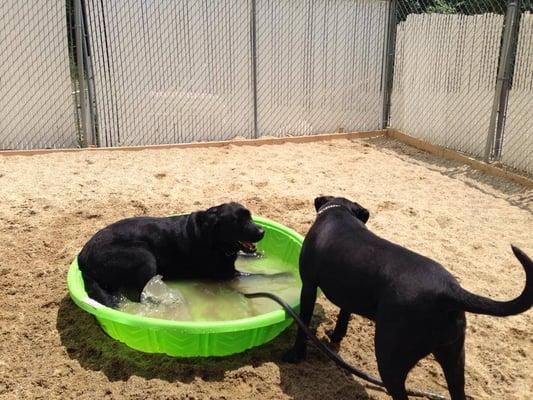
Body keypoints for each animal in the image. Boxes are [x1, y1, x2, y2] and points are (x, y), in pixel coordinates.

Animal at [77, 202, 264, 308]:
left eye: (250, 217)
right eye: (236, 221)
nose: (262, 231)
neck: (213, 239)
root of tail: (82, 258)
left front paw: (259, 255)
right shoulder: (227, 274)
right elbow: (263, 275)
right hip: (144, 257)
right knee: (135, 295)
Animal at [286, 196, 532, 400]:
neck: (339, 213)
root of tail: (449, 290)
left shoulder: (308, 286)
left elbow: (303, 324)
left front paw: (295, 355)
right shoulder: (348, 293)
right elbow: (343, 317)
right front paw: (336, 336)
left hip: (390, 359)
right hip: (454, 358)